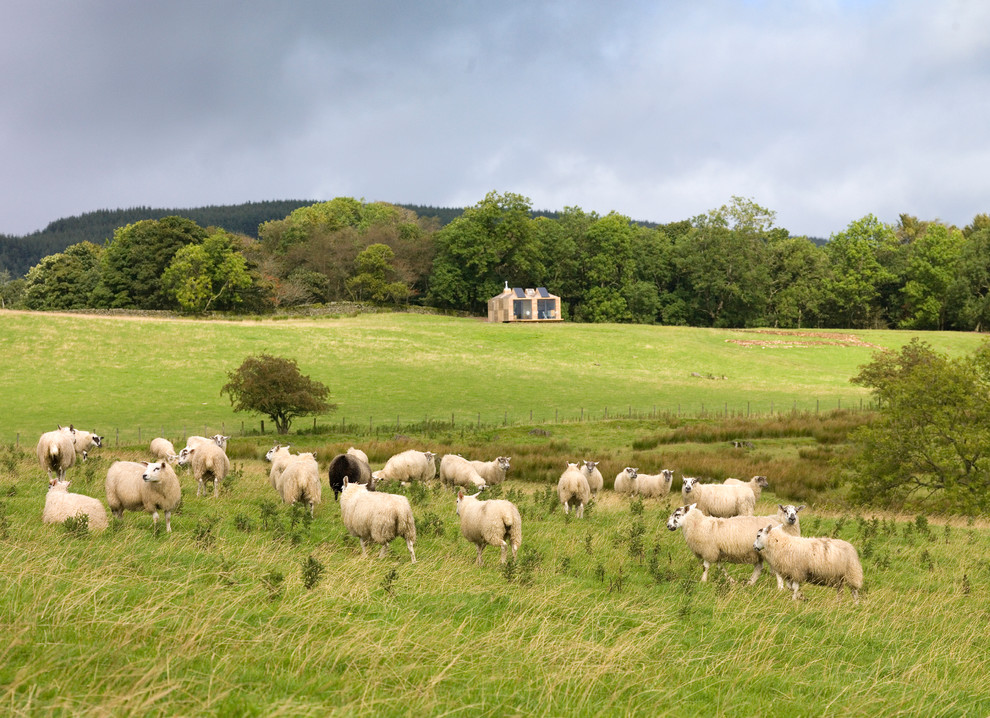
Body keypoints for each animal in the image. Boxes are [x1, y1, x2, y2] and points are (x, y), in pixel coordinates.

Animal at [668, 504, 800, 588]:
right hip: (758, 553)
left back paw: (780, 588)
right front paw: (732, 581)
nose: (668, 526)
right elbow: (721, 568)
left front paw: (703, 581)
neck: (698, 524)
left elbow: (705, 567)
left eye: (677, 514)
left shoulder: (708, 550)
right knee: (758, 569)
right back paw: (749, 584)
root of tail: (779, 525)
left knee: (775, 570)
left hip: (769, 552)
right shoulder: (717, 552)